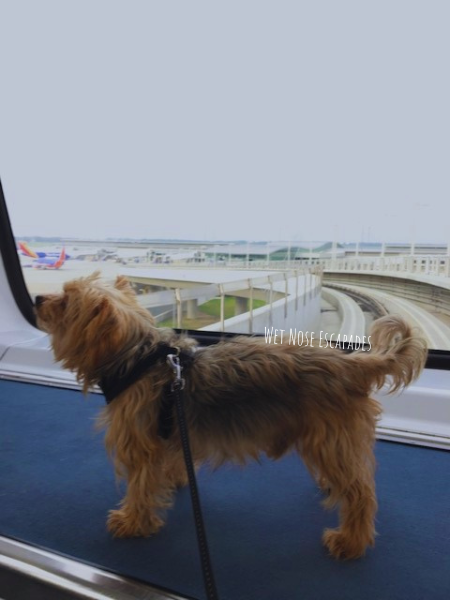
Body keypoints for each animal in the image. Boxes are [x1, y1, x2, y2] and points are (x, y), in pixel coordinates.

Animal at [35, 274, 428, 560]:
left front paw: (133, 521)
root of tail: (353, 364)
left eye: (65, 301)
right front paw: (175, 480)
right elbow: (171, 464)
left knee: (361, 493)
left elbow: (141, 486)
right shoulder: (172, 433)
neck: (138, 357)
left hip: (330, 438)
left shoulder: (141, 445)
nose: (38, 299)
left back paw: (351, 541)